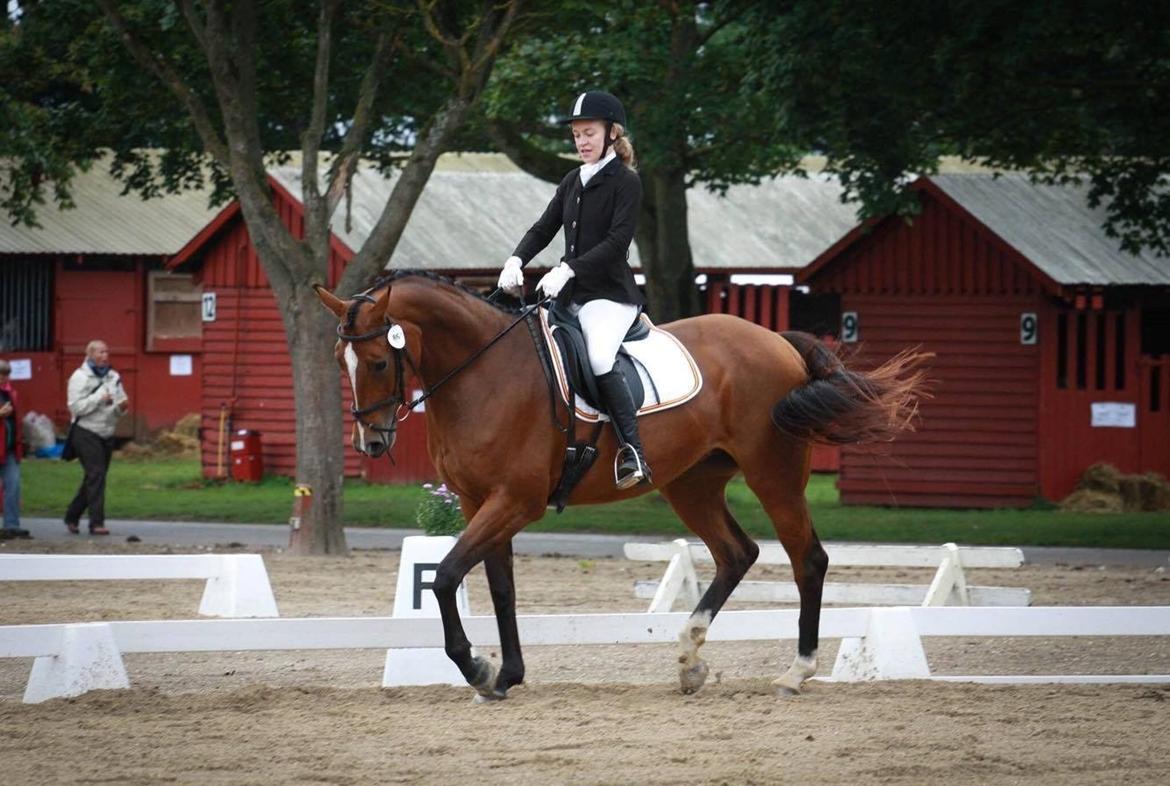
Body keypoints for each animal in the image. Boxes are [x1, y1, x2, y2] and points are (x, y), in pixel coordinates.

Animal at [315, 271, 926, 701]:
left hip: (773, 474)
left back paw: (796, 672)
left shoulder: (515, 501)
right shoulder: (479, 501)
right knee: (737, 553)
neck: (482, 373)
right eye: (339, 361)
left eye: (376, 361)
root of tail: (776, 340)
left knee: (807, 560)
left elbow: (443, 577)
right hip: (691, 485)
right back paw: (690, 660)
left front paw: (478, 668)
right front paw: (507, 675)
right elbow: (499, 586)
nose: (371, 442)